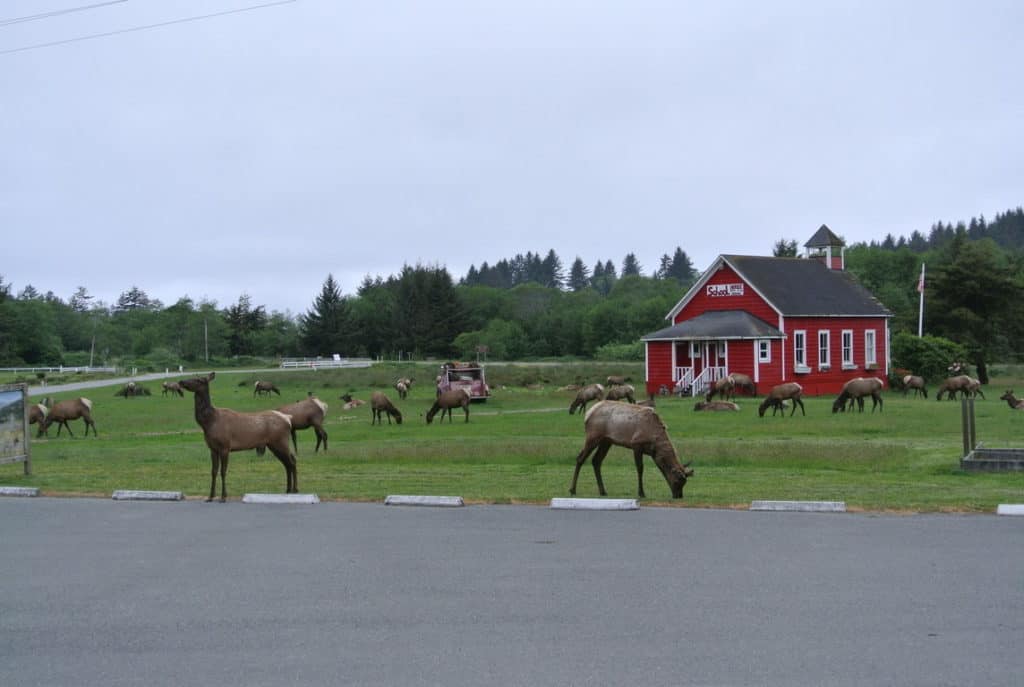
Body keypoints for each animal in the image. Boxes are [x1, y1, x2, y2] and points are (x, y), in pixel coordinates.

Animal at [179, 372, 299, 501]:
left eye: (199, 380)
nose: (181, 381)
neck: (208, 423)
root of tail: (288, 419)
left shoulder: (225, 446)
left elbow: (223, 471)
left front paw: (223, 496)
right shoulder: (212, 448)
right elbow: (213, 471)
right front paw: (210, 497)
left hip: (280, 441)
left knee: (291, 461)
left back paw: (295, 489)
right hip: (274, 444)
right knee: (287, 463)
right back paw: (288, 490)